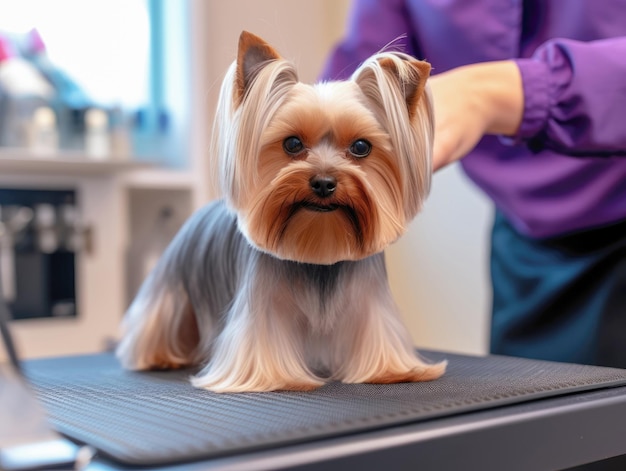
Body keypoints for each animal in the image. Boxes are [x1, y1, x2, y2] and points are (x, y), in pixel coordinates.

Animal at [116, 28, 444, 390]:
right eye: (292, 143)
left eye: (361, 147)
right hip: (175, 281)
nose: (324, 183)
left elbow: (375, 327)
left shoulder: (368, 296)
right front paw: (278, 377)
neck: (318, 251)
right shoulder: (262, 302)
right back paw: (157, 355)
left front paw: (391, 370)